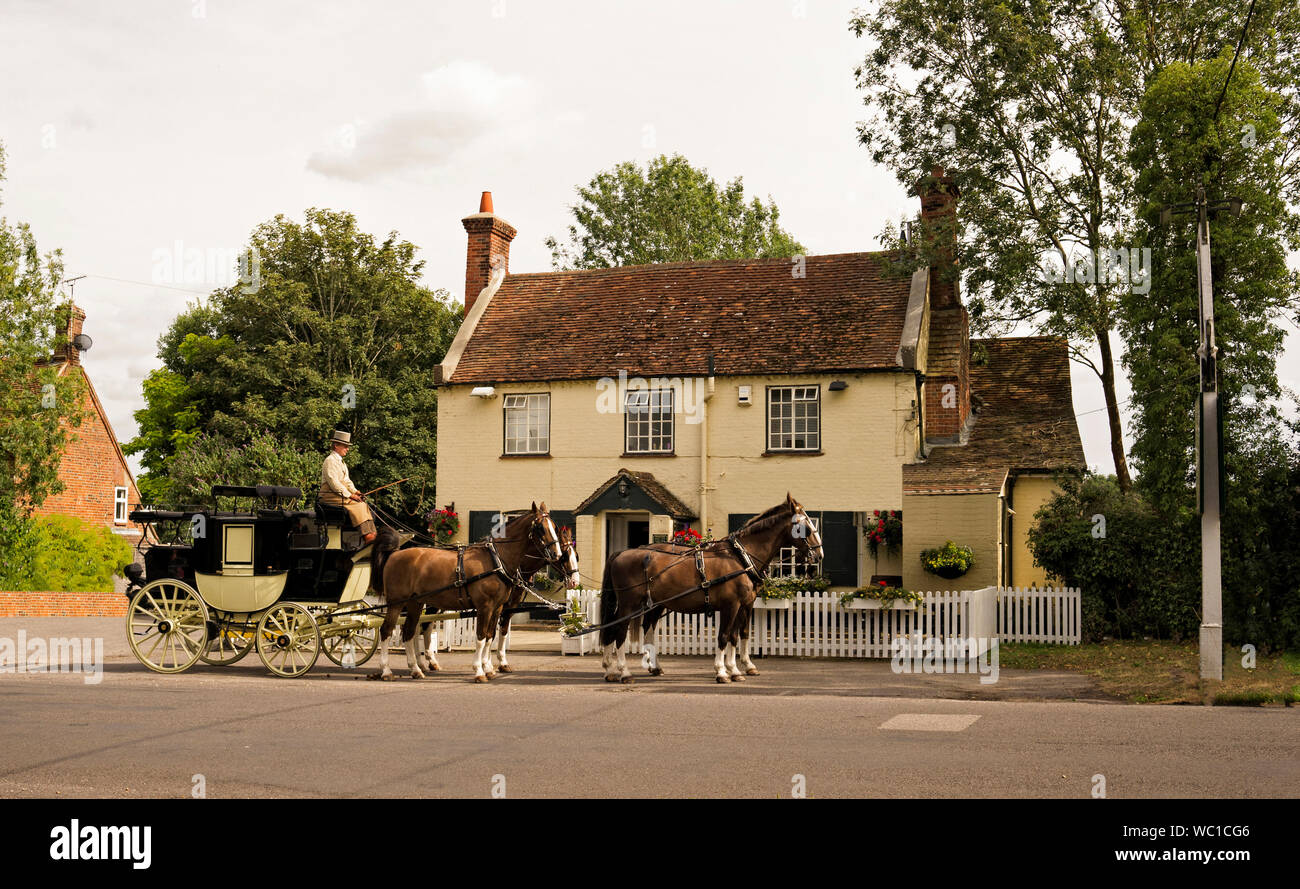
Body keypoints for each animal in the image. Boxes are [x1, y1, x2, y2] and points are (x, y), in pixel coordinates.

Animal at [371, 504, 564, 686]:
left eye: (554, 526)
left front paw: (489, 669)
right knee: (386, 631)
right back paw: (386, 671)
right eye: (540, 527)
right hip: (396, 603)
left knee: (409, 632)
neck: (496, 559)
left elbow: (489, 637)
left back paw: (416, 669)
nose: (557, 554)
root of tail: (395, 553)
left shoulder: (497, 608)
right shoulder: (485, 607)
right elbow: (480, 637)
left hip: (415, 603)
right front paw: (479, 671)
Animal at [598, 493, 821, 681]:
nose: (819, 555)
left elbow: (739, 635)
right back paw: (623, 671)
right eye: (805, 527)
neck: (740, 556)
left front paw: (740, 668)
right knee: (618, 631)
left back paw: (638, 668)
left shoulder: (745, 604)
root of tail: (621, 553)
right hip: (629, 604)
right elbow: (724, 636)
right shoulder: (731, 605)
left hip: (655, 604)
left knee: (644, 628)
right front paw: (723, 671)